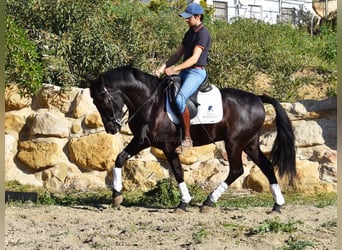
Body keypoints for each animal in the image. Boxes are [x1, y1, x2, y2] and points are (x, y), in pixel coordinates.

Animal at [89, 65, 296, 213]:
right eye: (94, 102)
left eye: (103, 100)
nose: (111, 128)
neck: (151, 103)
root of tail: (258, 99)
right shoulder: (142, 141)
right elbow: (119, 159)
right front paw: (116, 195)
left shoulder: (166, 145)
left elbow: (178, 172)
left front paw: (184, 203)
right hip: (249, 144)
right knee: (266, 166)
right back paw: (277, 205)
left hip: (235, 143)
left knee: (237, 170)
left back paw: (209, 201)